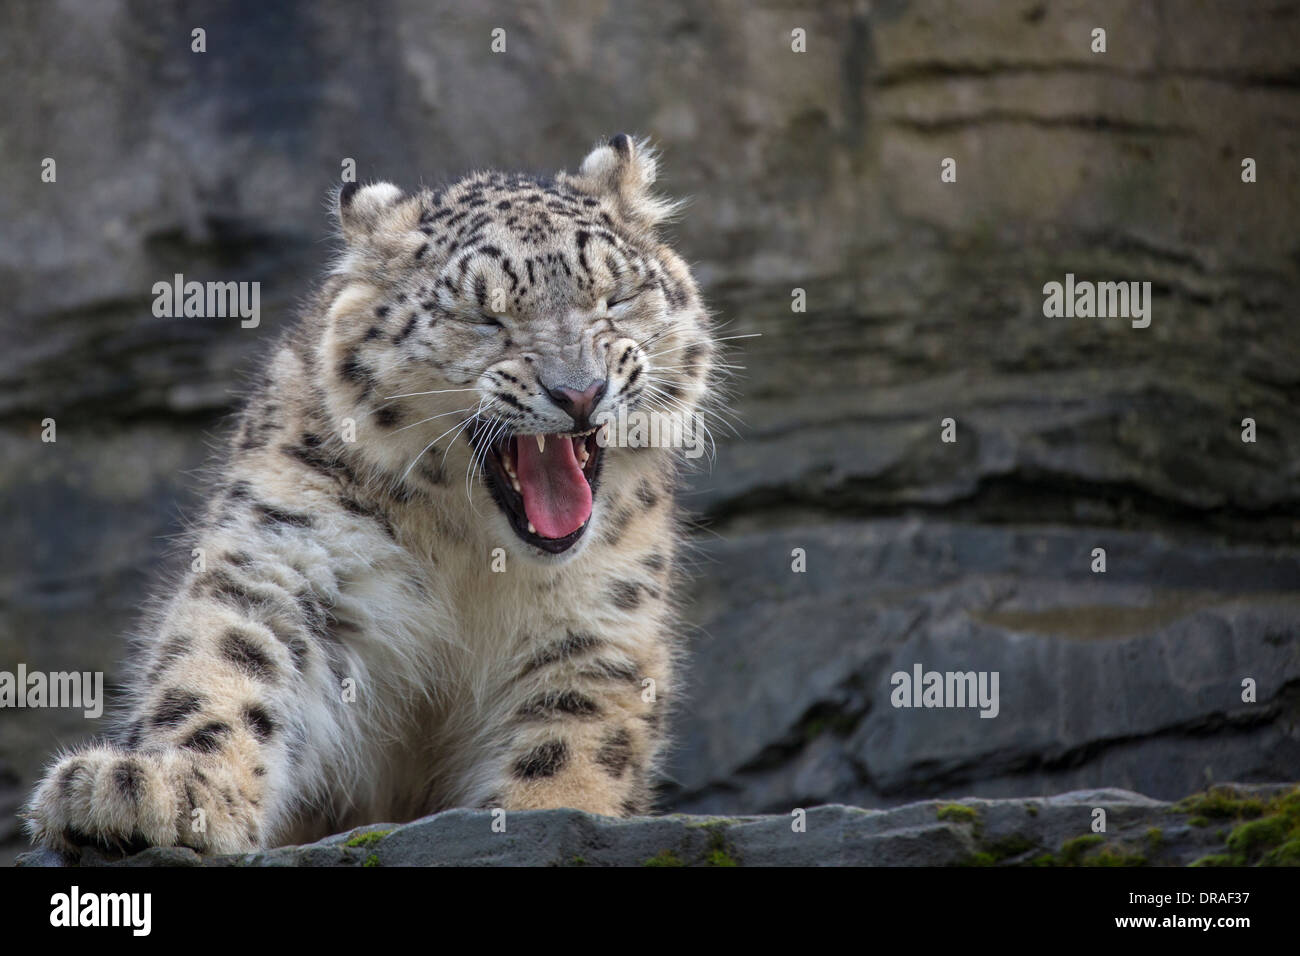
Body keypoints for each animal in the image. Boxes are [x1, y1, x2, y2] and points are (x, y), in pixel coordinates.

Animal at [23, 134, 720, 855]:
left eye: (616, 296)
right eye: (484, 315)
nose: (579, 391)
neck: (472, 552)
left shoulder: (597, 618)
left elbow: (573, 743)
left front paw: (548, 815)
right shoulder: (285, 549)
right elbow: (226, 660)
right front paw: (153, 788)